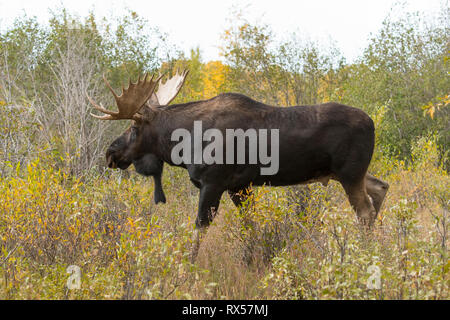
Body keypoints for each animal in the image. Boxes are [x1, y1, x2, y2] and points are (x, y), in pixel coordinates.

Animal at [86, 69, 388, 245]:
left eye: (134, 128)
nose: (110, 153)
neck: (185, 143)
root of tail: (372, 122)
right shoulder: (239, 186)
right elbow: (250, 225)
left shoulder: (214, 183)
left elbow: (198, 230)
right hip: (346, 173)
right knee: (381, 187)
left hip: (349, 173)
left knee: (365, 211)